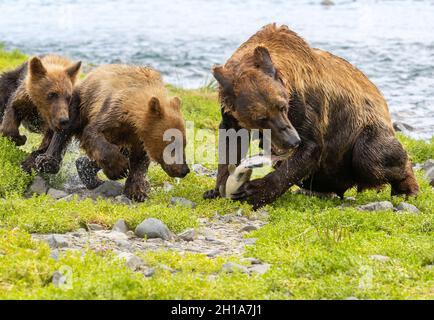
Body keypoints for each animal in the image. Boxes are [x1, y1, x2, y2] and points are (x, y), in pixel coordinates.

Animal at [205, 23, 418, 209]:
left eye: (282, 107)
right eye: (260, 118)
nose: (292, 141)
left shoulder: (305, 102)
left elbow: (310, 146)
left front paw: (255, 191)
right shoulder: (231, 113)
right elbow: (231, 143)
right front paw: (217, 189)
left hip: (365, 131)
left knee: (369, 157)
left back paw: (406, 188)